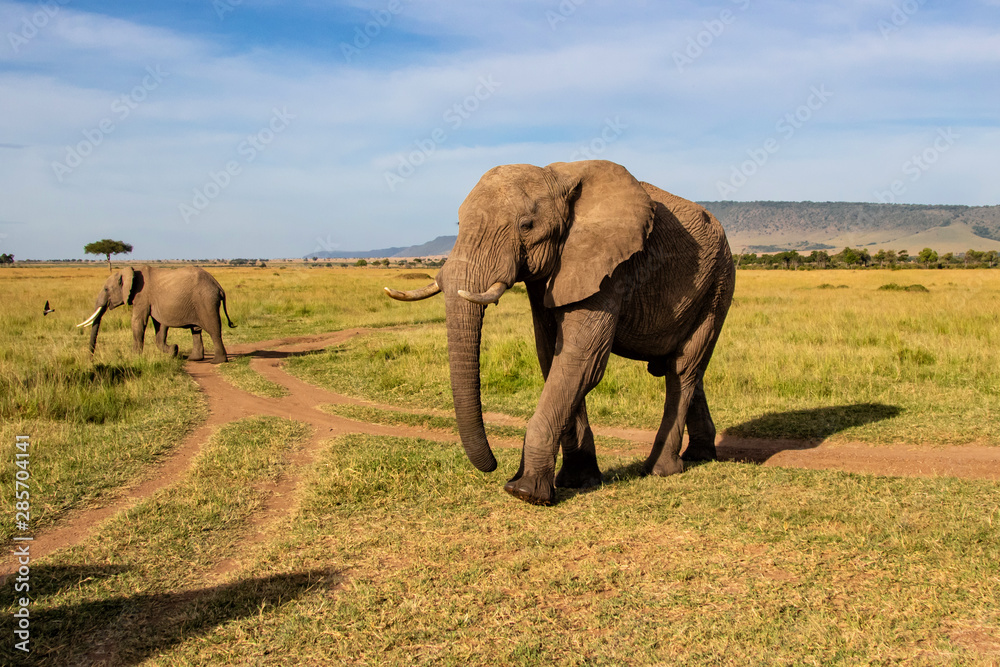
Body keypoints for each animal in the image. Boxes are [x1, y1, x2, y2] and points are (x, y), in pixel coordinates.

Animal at [77, 264, 236, 366]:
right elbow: (159, 326)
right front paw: (173, 350)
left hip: (206, 301)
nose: (90, 361)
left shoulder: (142, 296)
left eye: (106, 289)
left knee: (213, 330)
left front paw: (134, 358)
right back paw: (193, 359)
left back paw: (217, 361)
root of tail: (218, 286)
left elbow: (138, 322)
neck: (131, 271)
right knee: (196, 330)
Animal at [386, 160, 740, 506]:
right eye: (458, 224)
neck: (556, 176)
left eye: (527, 225)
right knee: (685, 370)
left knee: (683, 369)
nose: (494, 465)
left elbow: (580, 362)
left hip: (719, 283)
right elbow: (551, 356)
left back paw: (660, 469)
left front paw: (525, 492)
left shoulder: (609, 268)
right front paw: (577, 481)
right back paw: (700, 456)